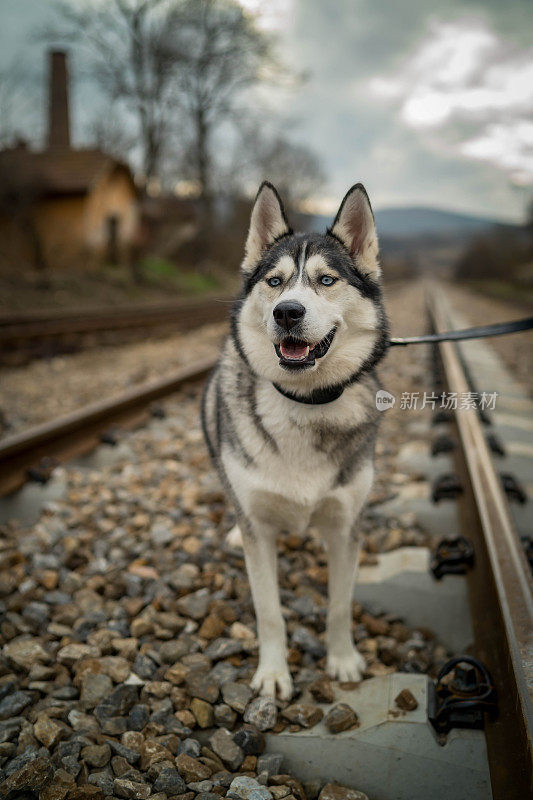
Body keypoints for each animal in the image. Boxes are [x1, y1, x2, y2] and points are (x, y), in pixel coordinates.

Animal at [202, 183, 388, 700]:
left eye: (326, 280)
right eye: (275, 282)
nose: (288, 311)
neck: (305, 403)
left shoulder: (346, 528)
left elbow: (340, 606)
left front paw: (342, 661)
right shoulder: (259, 535)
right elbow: (269, 613)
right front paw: (272, 675)